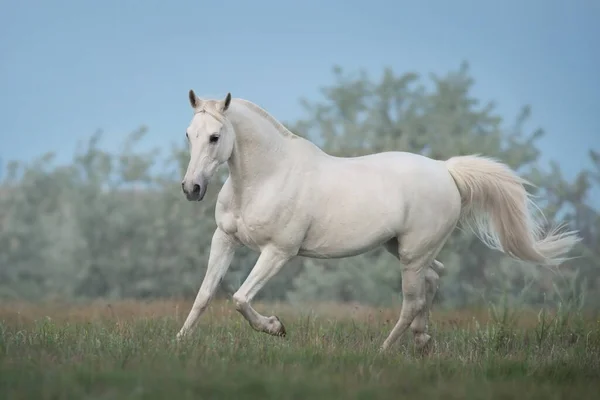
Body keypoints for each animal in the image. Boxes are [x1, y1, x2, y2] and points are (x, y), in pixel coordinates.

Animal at [176, 90, 580, 350]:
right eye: (189, 135)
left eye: (215, 137)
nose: (191, 188)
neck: (267, 178)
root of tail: (446, 171)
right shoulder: (224, 238)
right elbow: (205, 294)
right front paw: (180, 342)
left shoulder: (278, 251)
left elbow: (240, 298)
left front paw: (276, 328)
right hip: (402, 248)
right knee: (433, 280)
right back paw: (422, 342)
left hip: (412, 254)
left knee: (412, 301)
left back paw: (385, 351)